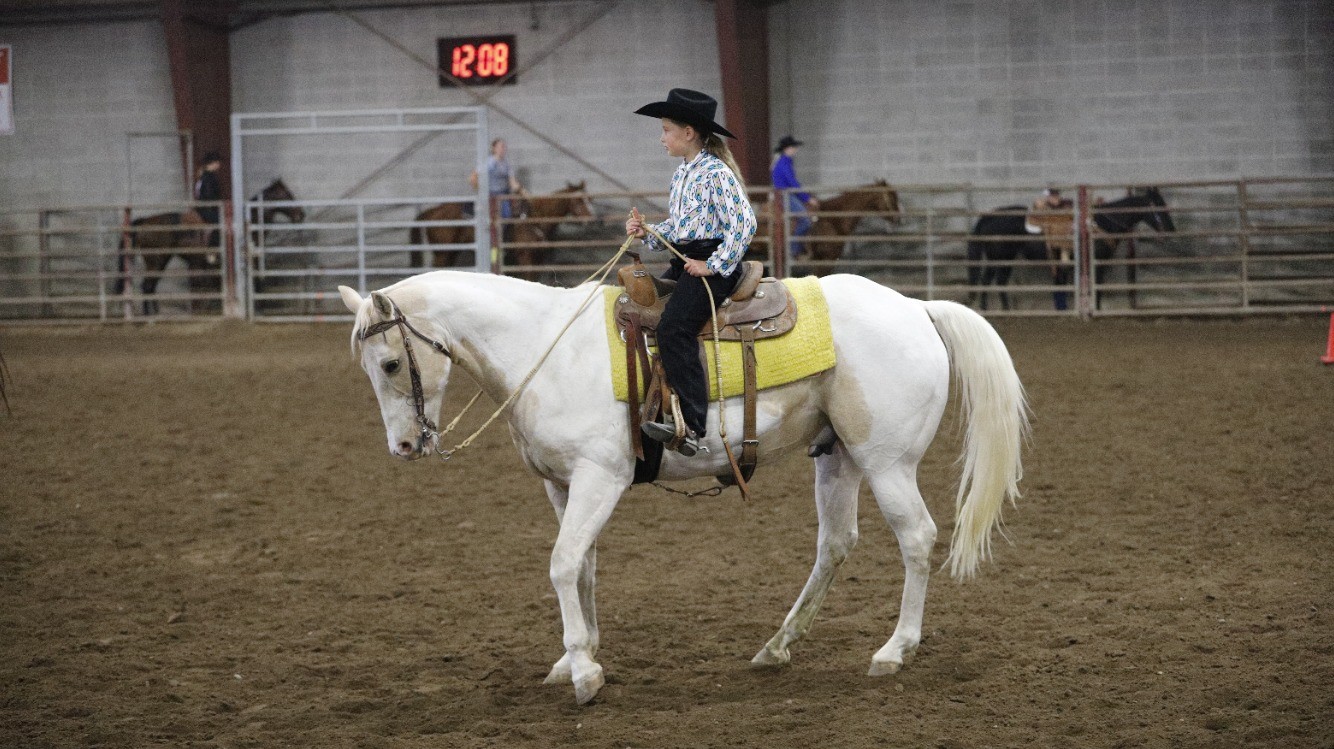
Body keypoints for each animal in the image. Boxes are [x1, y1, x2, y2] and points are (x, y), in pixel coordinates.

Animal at [337, 269, 1028, 705]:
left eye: (392, 363)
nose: (405, 447)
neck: (545, 350)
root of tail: (917, 308)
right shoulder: (562, 485)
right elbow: (582, 567)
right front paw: (579, 656)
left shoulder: (600, 478)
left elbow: (561, 564)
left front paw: (583, 673)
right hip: (838, 457)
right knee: (836, 544)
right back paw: (777, 646)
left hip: (887, 462)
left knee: (916, 538)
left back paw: (894, 650)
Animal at [966, 187, 1174, 311]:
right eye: (1160, 207)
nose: (1171, 230)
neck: (1102, 222)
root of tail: (987, 217)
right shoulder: (1097, 263)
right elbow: (1097, 287)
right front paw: (1097, 309)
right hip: (998, 257)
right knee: (987, 280)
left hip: (1006, 259)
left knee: (999, 282)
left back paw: (1005, 309)